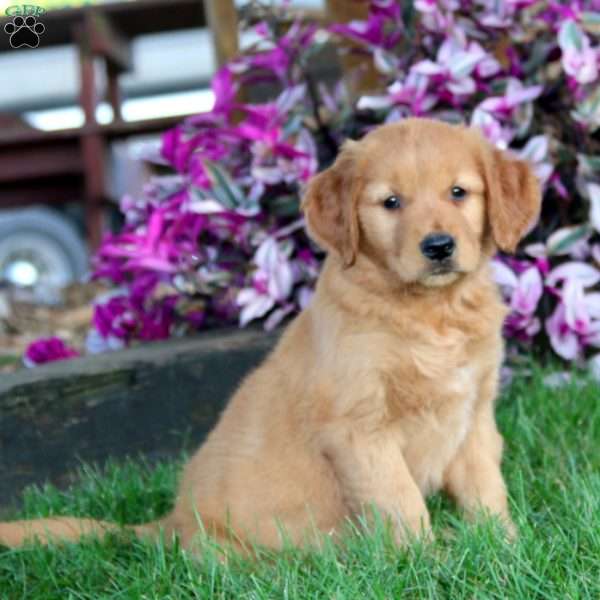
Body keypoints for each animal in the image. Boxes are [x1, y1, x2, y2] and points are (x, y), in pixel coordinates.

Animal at [0, 117, 540, 552]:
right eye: (391, 202)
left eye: (459, 192)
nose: (439, 247)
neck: (430, 311)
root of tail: (168, 523)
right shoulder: (359, 428)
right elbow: (401, 502)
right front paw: (429, 563)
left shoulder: (474, 415)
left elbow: (485, 489)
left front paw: (507, 548)